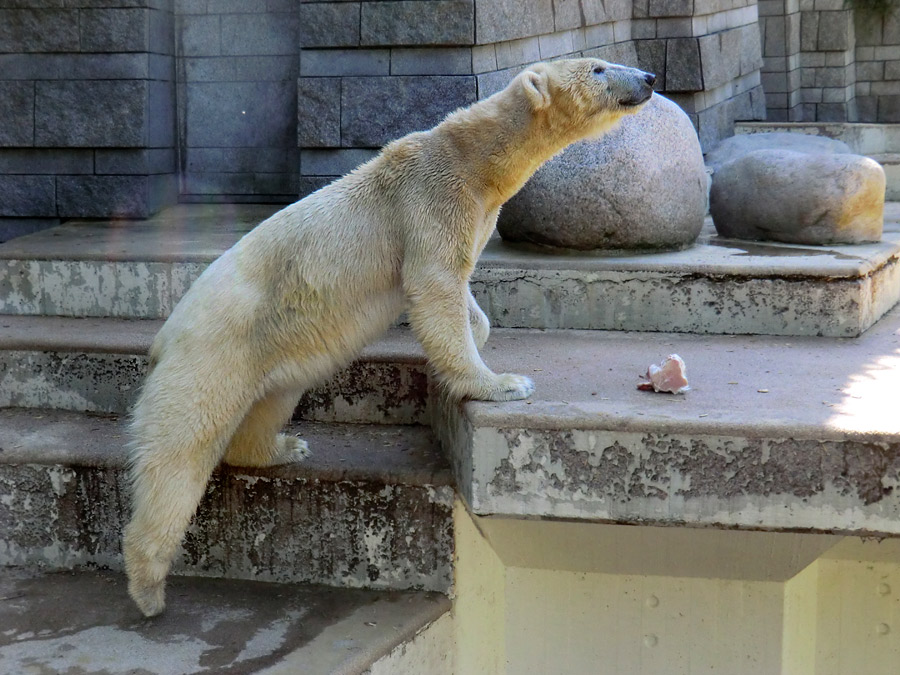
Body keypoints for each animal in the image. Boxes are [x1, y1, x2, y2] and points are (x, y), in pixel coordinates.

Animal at [125, 58, 652, 616]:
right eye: (598, 67)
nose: (649, 78)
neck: (474, 158)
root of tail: (165, 337)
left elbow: (459, 291)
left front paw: (481, 334)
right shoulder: (432, 199)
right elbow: (435, 283)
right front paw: (503, 383)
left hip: (270, 352)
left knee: (271, 401)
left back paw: (284, 446)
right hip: (211, 358)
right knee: (178, 455)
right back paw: (149, 588)